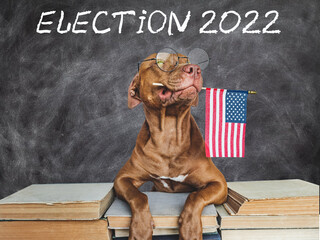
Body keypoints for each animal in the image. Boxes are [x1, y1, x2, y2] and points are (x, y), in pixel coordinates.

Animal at [114, 51, 228, 240]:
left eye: (188, 60)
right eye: (159, 62)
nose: (194, 69)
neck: (169, 135)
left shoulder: (219, 184)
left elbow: (196, 196)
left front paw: (190, 228)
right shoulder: (122, 179)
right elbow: (139, 196)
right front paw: (140, 228)